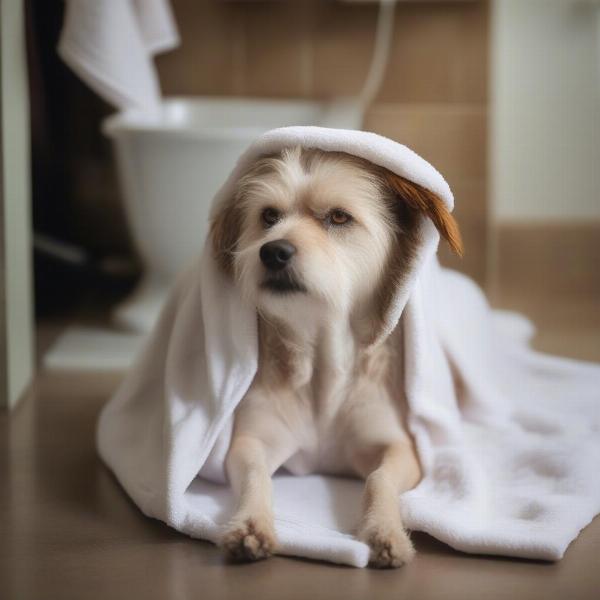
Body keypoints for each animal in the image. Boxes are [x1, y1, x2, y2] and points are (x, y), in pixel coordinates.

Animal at [211, 145, 464, 568]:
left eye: (339, 217)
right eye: (269, 216)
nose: (273, 252)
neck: (321, 364)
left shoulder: (400, 446)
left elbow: (379, 479)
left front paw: (384, 530)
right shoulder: (252, 439)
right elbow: (254, 475)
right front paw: (250, 525)